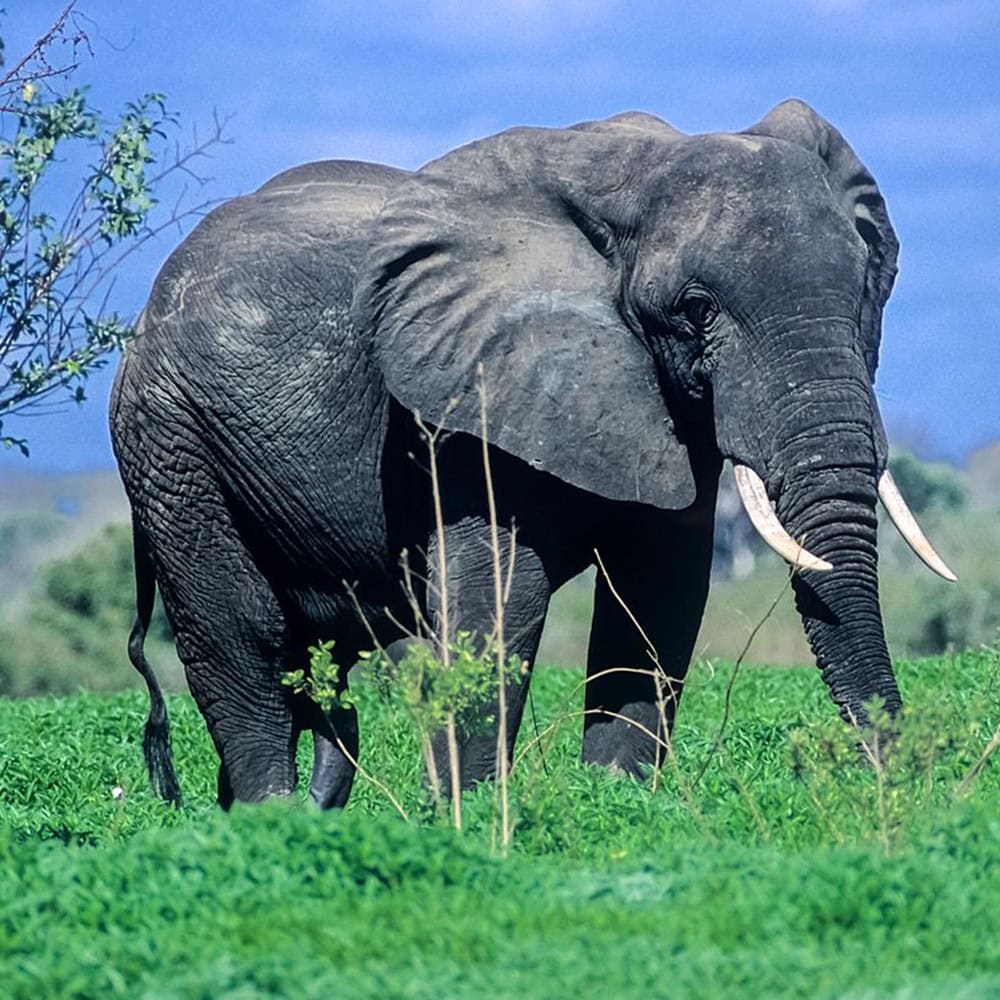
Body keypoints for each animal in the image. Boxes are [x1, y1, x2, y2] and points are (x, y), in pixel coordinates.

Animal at [111, 99, 955, 810]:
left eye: (865, 292)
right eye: (695, 310)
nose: (904, 779)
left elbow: (659, 593)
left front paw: (613, 804)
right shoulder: (469, 400)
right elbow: (499, 601)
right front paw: (474, 816)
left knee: (319, 665)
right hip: (170, 443)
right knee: (239, 635)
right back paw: (272, 817)